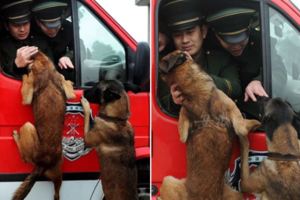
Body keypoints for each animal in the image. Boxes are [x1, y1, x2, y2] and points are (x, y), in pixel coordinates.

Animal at [12, 51, 75, 200]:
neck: (44, 63)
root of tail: (43, 164)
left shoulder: (28, 93)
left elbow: (27, 82)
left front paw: (25, 75)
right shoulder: (64, 84)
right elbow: (67, 84)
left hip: (28, 126)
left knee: (25, 157)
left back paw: (16, 136)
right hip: (58, 175)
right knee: (57, 192)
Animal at [159, 50, 260, 199]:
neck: (191, 90)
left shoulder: (183, 116)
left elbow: (182, 135)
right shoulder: (236, 116)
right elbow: (243, 126)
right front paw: (257, 123)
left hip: (233, 193)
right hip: (169, 180)